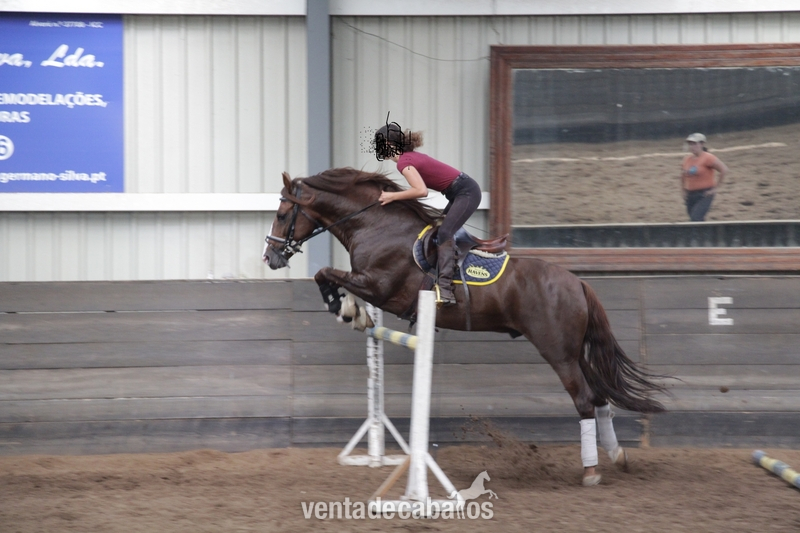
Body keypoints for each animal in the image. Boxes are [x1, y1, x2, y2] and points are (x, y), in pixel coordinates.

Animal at [263, 168, 667, 486]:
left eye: (282, 214)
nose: (270, 257)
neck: (375, 224)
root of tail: (578, 282)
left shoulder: (379, 286)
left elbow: (325, 273)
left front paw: (346, 309)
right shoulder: (371, 285)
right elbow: (330, 276)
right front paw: (355, 312)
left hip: (558, 352)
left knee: (584, 400)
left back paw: (591, 471)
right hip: (574, 351)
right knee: (599, 399)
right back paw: (617, 457)